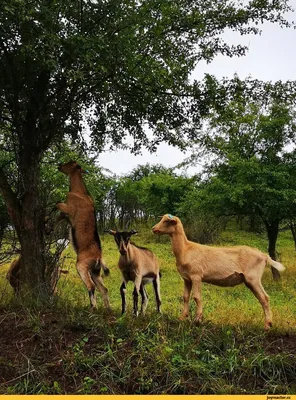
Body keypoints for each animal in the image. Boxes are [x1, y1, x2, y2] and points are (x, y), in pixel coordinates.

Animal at [56, 160, 110, 310]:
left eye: (70, 162)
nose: (59, 165)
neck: (80, 192)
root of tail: (99, 257)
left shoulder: (68, 208)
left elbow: (57, 204)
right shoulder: (66, 214)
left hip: (82, 267)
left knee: (91, 286)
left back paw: (93, 307)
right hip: (95, 272)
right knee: (104, 288)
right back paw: (107, 309)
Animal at [151, 214, 286, 330]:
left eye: (166, 221)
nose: (153, 228)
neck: (185, 249)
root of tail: (264, 255)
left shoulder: (196, 276)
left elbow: (197, 297)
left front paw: (197, 320)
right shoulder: (186, 279)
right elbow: (185, 297)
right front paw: (182, 317)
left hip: (254, 278)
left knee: (265, 298)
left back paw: (267, 325)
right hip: (251, 281)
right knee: (262, 298)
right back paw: (268, 323)